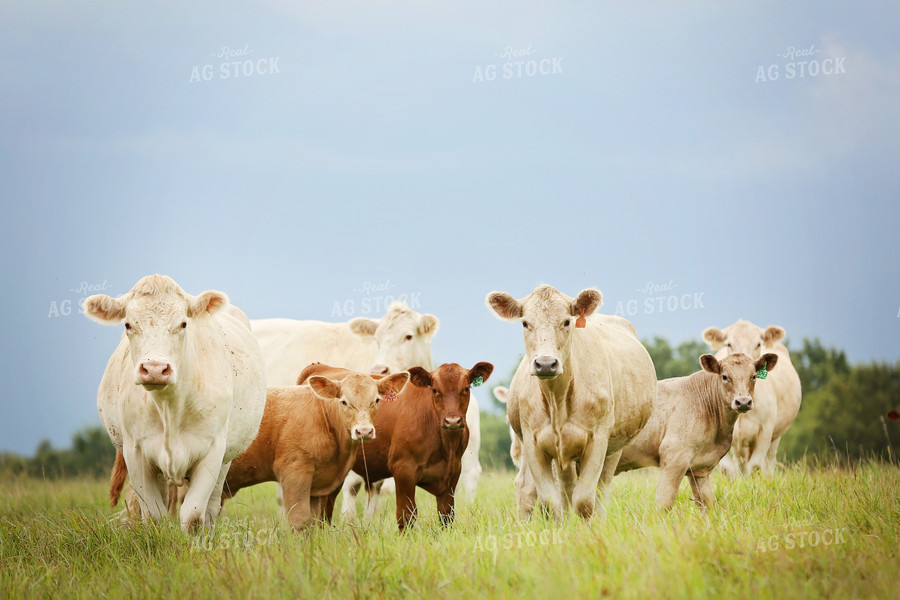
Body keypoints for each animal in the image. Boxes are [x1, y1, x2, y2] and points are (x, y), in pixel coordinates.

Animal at [304, 360, 500, 528]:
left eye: (466, 388)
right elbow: (406, 515)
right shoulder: (403, 469)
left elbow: (446, 515)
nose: (452, 421)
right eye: (435, 390)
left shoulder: (452, 473)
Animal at [616, 352, 776, 510]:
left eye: (753, 376)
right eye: (725, 377)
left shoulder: (699, 469)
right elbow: (664, 502)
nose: (743, 402)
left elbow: (708, 503)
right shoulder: (674, 457)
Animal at [704, 318, 800, 474]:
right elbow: (728, 468)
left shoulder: (766, 430)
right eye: (729, 344)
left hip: (775, 436)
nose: (743, 401)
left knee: (769, 463)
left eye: (758, 344)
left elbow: (755, 466)